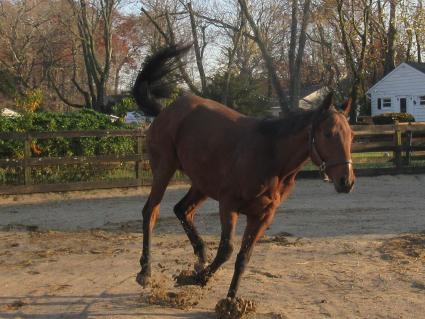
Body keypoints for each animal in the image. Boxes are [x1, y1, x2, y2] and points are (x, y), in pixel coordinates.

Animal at [132, 44, 354, 300]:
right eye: (328, 134)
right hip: (164, 169)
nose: (346, 181)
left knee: (182, 210)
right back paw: (146, 271)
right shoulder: (229, 205)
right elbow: (227, 250)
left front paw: (229, 299)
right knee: (151, 212)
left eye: (352, 136)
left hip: (201, 183)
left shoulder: (262, 216)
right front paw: (197, 279)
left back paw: (200, 258)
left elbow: (244, 257)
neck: (271, 156)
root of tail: (165, 111)